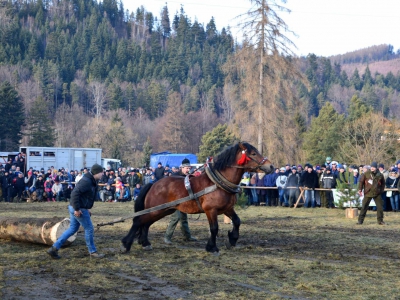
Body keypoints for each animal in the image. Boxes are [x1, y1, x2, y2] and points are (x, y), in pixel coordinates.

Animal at [120, 142, 274, 254]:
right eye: (253, 153)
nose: (271, 166)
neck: (217, 183)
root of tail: (154, 184)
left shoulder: (227, 208)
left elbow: (237, 221)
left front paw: (232, 239)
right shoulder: (210, 210)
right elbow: (214, 228)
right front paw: (212, 247)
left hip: (162, 210)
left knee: (145, 224)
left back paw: (145, 243)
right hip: (156, 210)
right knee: (138, 221)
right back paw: (126, 244)